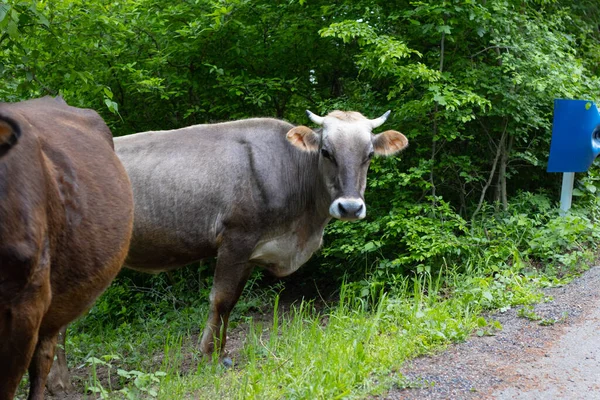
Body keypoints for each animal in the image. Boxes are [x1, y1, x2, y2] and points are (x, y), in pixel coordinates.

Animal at [47, 111, 408, 392]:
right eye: (326, 151)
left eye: (369, 155)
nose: (350, 207)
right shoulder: (236, 238)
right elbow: (219, 300)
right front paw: (209, 357)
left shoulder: (251, 251)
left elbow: (231, 302)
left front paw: (221, 353)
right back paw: (59, 383)